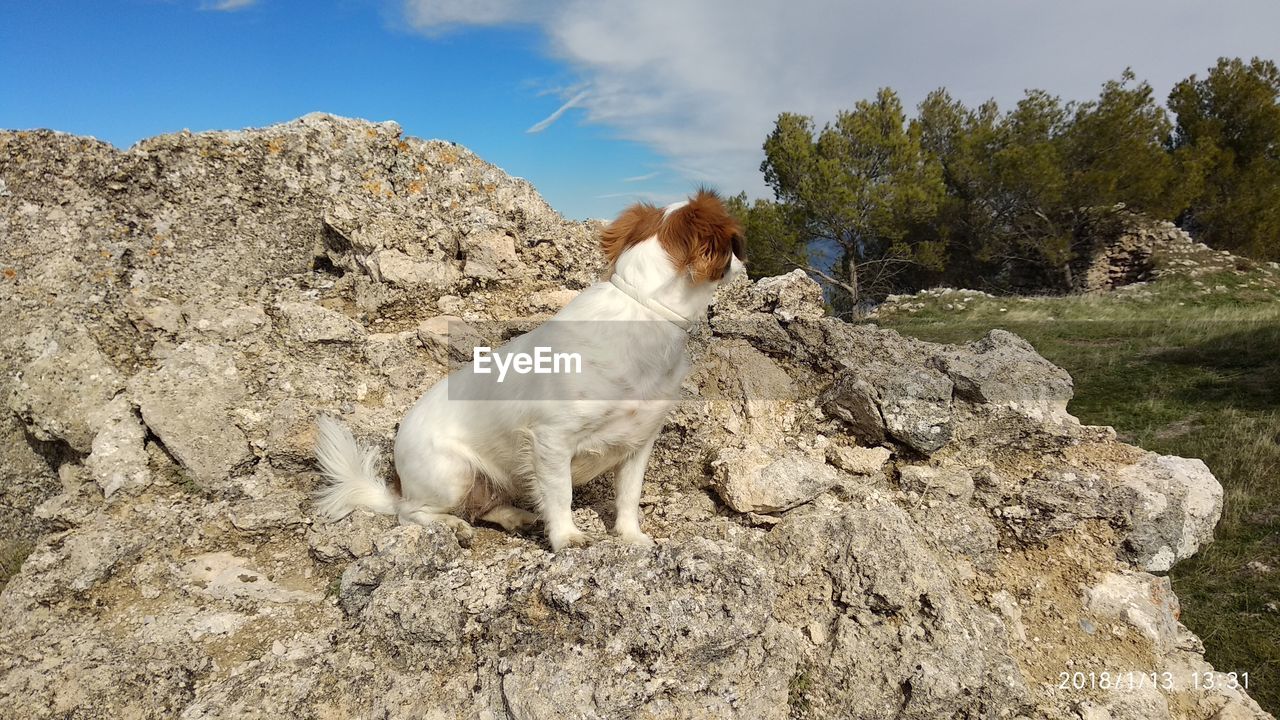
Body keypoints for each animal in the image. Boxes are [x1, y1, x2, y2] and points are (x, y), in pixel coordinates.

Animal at [313, 189, 747, 548]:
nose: (745, 261)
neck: (643, 308)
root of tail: (397, 484)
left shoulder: (638, 443)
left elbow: (628, 496)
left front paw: (630, 536)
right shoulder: (552, 440)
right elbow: (560, 494)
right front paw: (567, 537)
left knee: (485, 506)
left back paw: (516, 517)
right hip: (452, 474)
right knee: (410, 514)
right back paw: (451, 525)